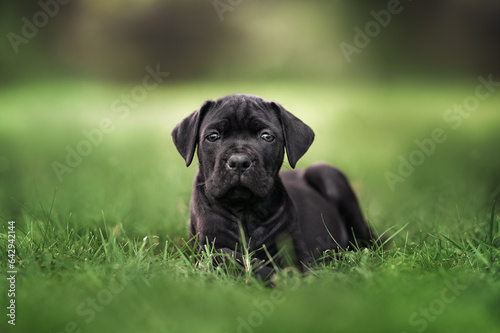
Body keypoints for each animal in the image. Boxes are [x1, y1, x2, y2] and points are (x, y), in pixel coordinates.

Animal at [173, 94, 378, 278]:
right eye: (213, 136)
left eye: (266, 136)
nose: (239, 161)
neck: (245, 212)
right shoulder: (208, 246)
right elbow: (230, 256)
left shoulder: (297, 252)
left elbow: (294, 270)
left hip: (328, 174)